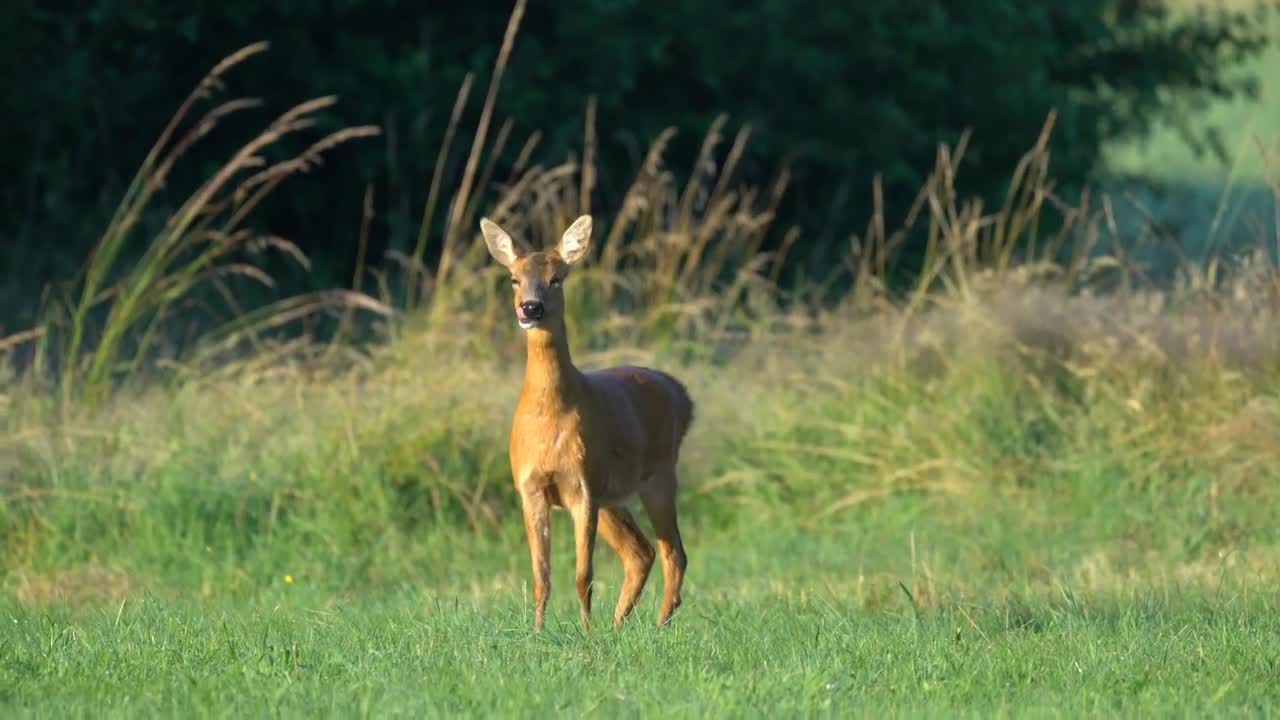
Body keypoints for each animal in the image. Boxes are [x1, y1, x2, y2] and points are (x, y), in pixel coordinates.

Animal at [478, 212, 696, 627]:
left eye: (557, 278)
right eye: (514, 278)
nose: (530, 308)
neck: (550, 415)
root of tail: (682, 394)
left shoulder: (583, 488)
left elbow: (583, 576)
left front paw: (585, 633)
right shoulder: (531, 488)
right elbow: (541, 578)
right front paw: (537, 631)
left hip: (658, 474)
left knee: (673, 551)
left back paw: (658, 625)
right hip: (614, 495)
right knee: (640, 551)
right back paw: (619, 624)